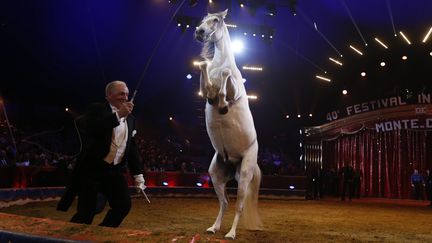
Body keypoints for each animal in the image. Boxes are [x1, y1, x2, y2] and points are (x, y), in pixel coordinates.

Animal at [196, 9, 264, 239]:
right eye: (203, 20)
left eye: (215, 20)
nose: (199, 31)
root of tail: (234, 162)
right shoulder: (206, 90)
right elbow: (205, 73)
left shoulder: (233, 90)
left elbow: (226, 84)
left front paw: (224, 104)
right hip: (216, 176)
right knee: (224, 202)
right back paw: (213, 228)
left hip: (244, 176)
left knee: (239, 205)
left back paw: (231, 233)